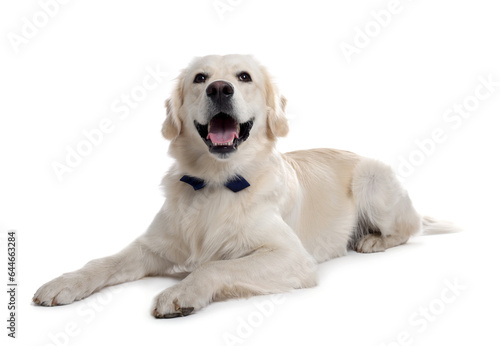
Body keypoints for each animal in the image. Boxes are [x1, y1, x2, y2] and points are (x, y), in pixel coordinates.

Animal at [32, 55, 454, 318]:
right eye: (200, 78)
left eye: (244, 77)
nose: (220, 88)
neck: (214, 182)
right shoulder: (152, 246)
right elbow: (104, 262)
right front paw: (64, 283)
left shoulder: (292, 257)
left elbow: (215, 266)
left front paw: (181, 293)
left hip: (372, 178)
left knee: (408, 228)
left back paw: (372, 240)